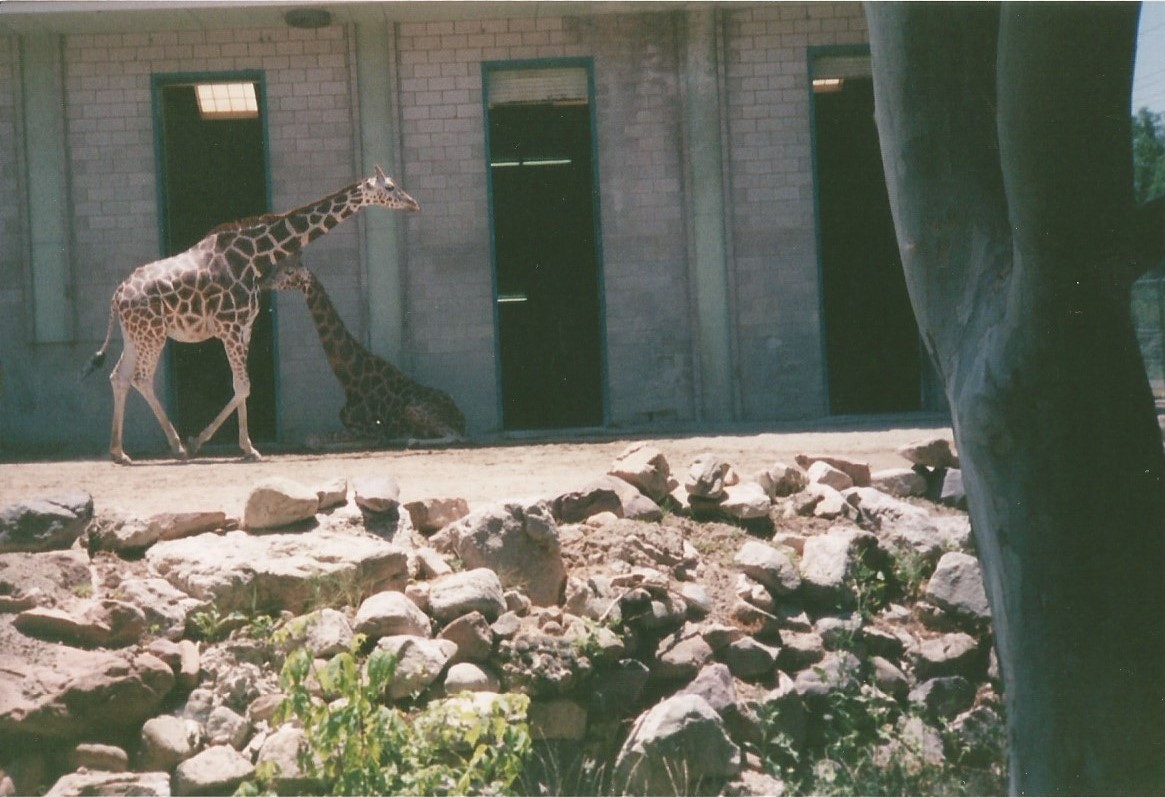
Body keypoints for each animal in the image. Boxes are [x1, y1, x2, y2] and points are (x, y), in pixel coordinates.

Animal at [82, 166, 419, 464]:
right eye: (390, 187)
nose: (413, 202)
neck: (256, 257)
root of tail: (117, 295)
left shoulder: (244, 327)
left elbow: (241, 385)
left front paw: (246, 447)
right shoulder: (229, 326)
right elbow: (243, 385)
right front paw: (207, 443)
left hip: (135, 335)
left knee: (119, 377)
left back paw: (120, 452)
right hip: (153, 335)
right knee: (140, 377)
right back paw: (176, 447)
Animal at [264, 253, 466, 444]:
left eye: (289, 271)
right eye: (277, 266)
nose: (265, 282)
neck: (350, 381)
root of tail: (461, 418)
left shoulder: (370, 429)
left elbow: (315, 439)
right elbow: (312, 439)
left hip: (414, 409)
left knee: (455, 436)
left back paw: (411, 440)